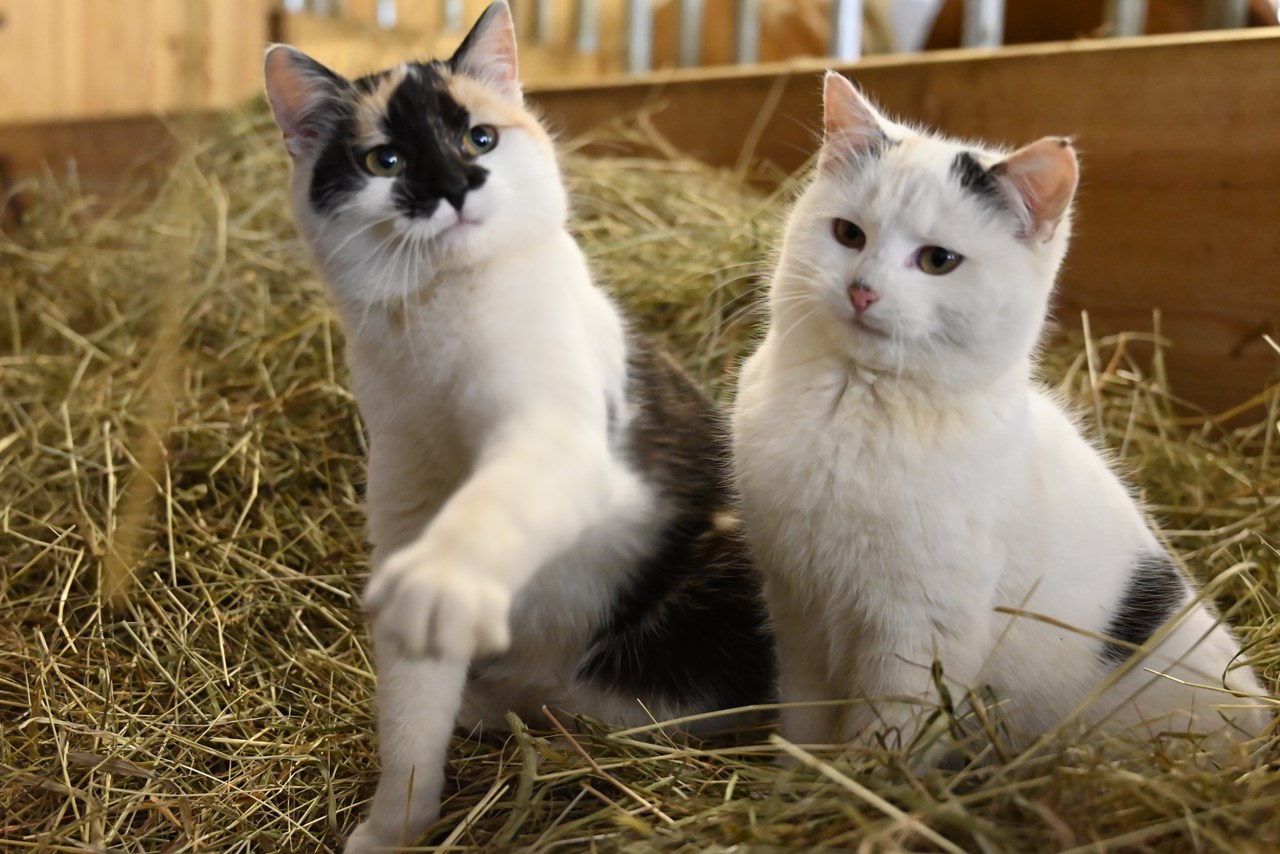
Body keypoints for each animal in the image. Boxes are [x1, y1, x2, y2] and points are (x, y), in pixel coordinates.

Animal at [259, 5, 768, 850]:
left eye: (480, 138)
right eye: (384, 159)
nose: (457, 185)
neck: (441, 314)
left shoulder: (559, 435)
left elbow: (494, 508)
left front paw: (442, 584)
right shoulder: (405, 508)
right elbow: (410, 715)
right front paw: (394, 826)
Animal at [732, 71, 1269, 752]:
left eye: (938, 261)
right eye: (848, 234)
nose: (861, 289)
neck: (856, 405)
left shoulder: (919, 633)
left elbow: (886, 732)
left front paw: (860, 781)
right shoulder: (797, 609)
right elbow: (804, 719)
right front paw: (796, 776)